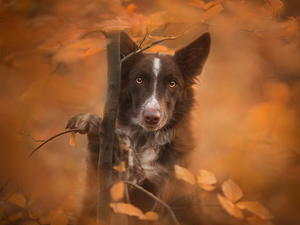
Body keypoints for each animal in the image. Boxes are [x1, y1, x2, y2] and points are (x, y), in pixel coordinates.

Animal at [66, 30, 211, 225]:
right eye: (139, 80)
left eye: (172, 83)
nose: (152, 118)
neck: (145, 139)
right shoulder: (94, 199)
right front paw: (91, 120)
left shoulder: (150, 205)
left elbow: (128, 147)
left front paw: (118, 135)